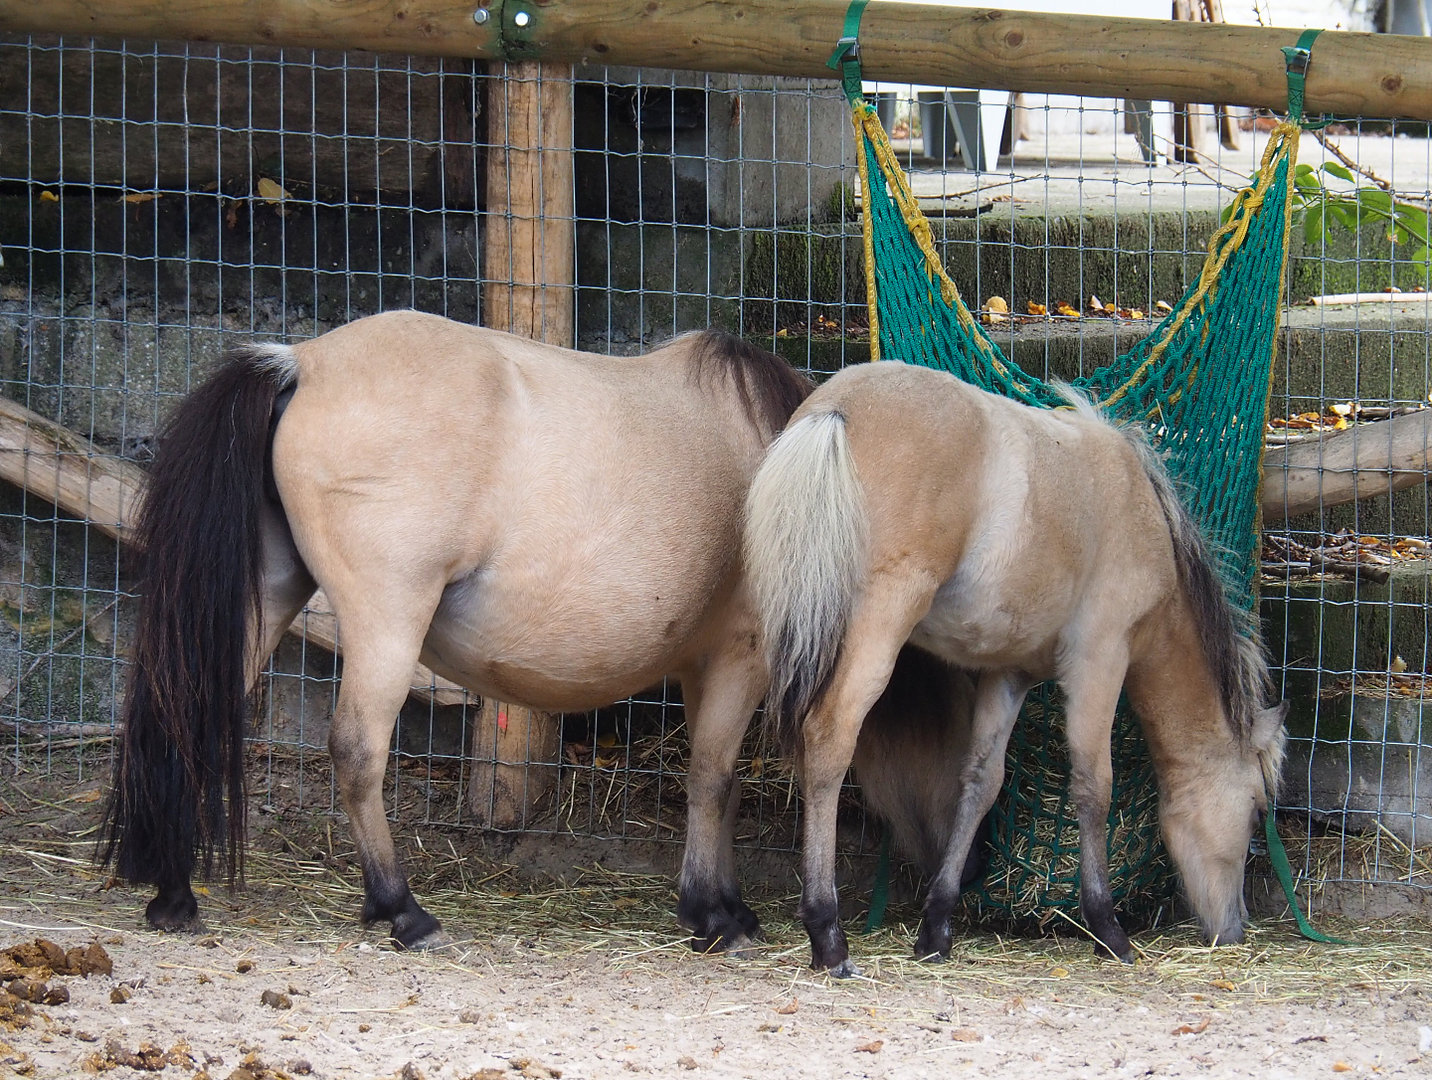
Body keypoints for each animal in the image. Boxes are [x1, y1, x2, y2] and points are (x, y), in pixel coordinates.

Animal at [100, 309, 815, 953]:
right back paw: (402, 911)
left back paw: (174, 896)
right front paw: (713, 915)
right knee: (356, 749)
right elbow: (713, 777)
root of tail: (301, 363)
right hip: (388, 619)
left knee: (192, 713)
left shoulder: (705, 665)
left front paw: (729, 905)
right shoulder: (742, 654)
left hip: (269, 595)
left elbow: (718, 782)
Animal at [743, 360, 1287, 977]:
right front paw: (1107, 929)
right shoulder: (1100, 659)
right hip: (876, 631)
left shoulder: (1010, 675)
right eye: (1254, 812)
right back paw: (827, 935)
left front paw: (937, 927)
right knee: (830, 740)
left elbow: (981, 782)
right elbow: (1093, 786)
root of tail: (836, 410)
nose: (1235, 928)